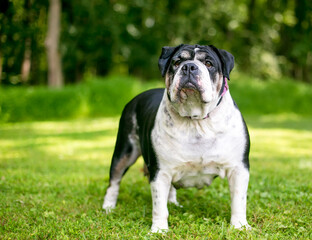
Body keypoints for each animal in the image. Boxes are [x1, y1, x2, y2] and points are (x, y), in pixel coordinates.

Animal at [102, 44, 251, 232]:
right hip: (124, 151)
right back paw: (108, 207)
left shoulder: (238, 168)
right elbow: (159, 205)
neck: (195, 120)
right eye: (177, 62)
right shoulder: (160, 172)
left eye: (208, 63)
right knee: (114, 181)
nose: (189, 67)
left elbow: (239, 199)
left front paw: (239, 225)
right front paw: (159, 229)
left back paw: (172, 203)